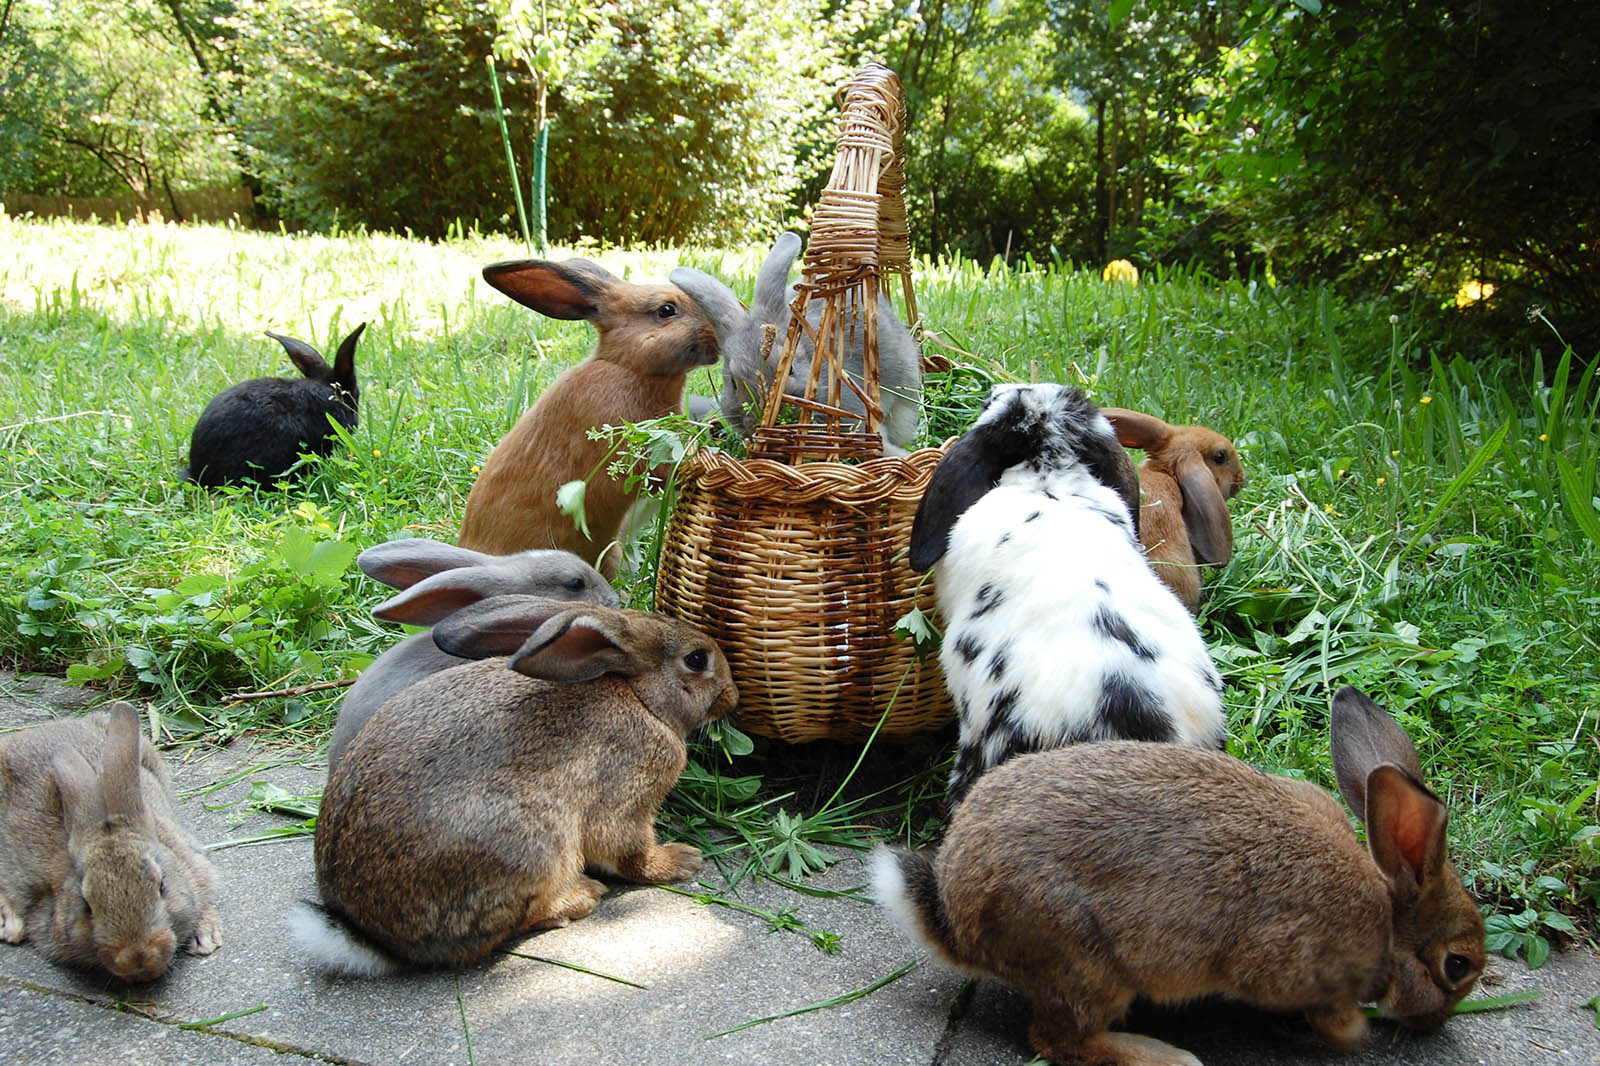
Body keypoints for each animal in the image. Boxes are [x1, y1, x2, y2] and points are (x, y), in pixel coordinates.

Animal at [291, 589, 732, 973]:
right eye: (696, 659)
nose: (733, 696)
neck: (639, 695)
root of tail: (373, 939)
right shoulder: (624, 797)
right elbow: (629, 852)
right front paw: (682, 861)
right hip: (532, 848)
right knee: (516, 921)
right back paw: (580, 897)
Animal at [876, 681, 1484, 1062]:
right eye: (1457, 965)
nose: (1438, 1023)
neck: (1389, 916)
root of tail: (958, 919)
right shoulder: (1298, 969)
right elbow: (1330, 1019)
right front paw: (1356, 1036)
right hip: (1083, 965)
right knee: (1057, 1038)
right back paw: (1165, 1056)